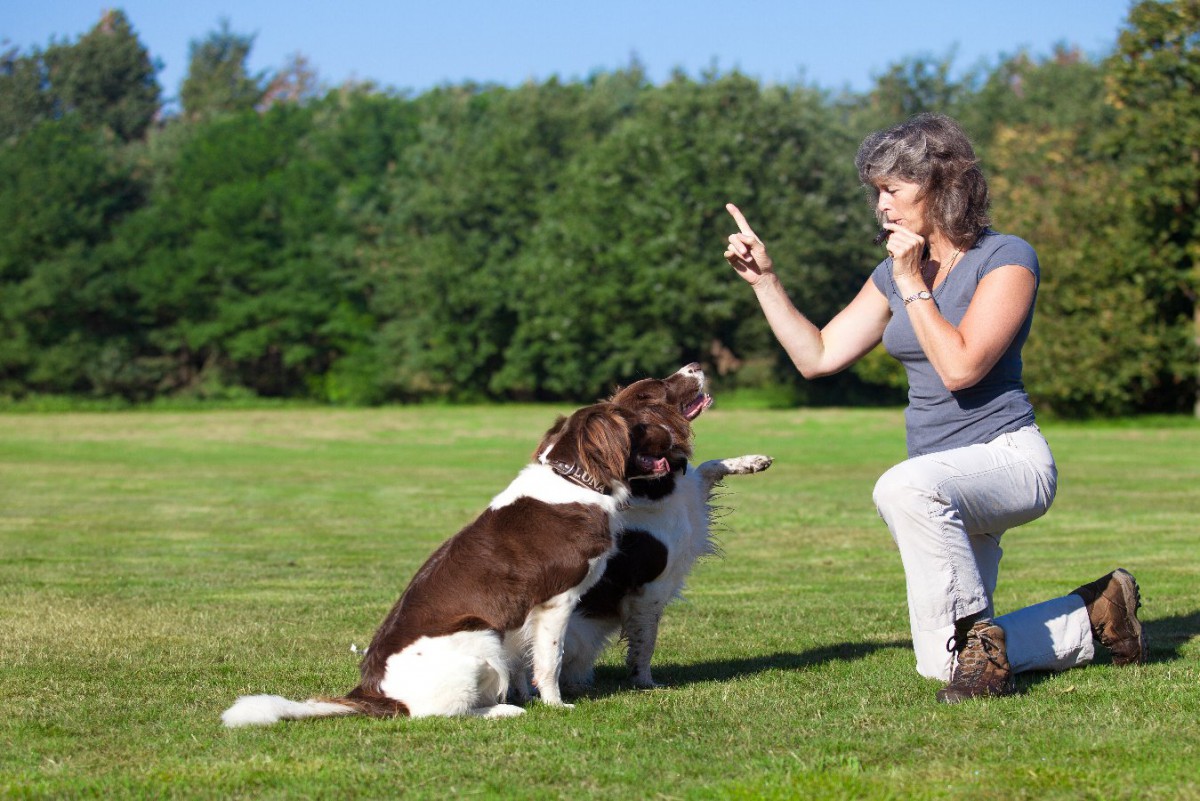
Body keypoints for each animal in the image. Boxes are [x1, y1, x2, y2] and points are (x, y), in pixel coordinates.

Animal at [220, 402, 681, 724]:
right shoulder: (557, 601)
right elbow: (550, 660)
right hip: (479, 639)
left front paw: (527, 694)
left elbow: (522, 660)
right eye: (640, 425)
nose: (676, 440)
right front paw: (554, 704)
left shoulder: (520, 613)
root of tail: (376, 693)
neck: (574, 479)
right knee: (436, 714)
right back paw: (502, 711)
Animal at [559, 366, 768, 690]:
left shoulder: (690, 499)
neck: (649, 483)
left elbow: (709, 466)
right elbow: (646, 640)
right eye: (662, 385)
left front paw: (752, 462)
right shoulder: (650, 588)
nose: (695, 364)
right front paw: (644, 682)